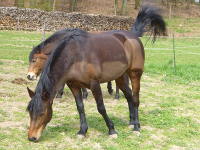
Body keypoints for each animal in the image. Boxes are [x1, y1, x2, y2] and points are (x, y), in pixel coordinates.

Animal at [27, 6, 167, 142]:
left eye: (42, 113)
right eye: (29, 112)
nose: (32, 138)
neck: (75, 56)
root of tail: (133, 36)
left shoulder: (94, 84)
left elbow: (101, 107)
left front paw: (112, 130)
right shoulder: (73, 85)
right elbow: (80, 107)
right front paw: (82, 131)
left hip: (135, 74)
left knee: (136, 98)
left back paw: (137, 127)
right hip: (120, 77)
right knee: (129, 96)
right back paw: (131, 122)